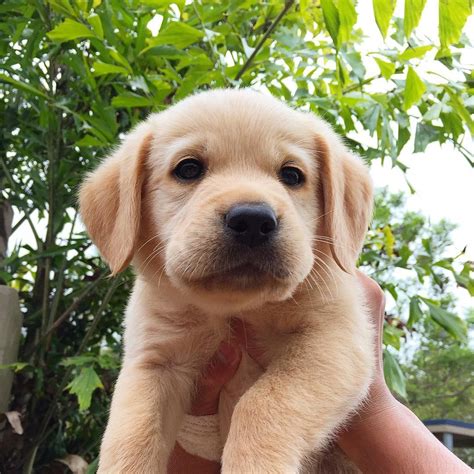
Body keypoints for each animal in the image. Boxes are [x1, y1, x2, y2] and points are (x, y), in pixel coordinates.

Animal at [80, 88, 374, 470]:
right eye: (188, 169)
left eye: (292, 175)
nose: (253, 220)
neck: (235, 308)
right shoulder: (153, 363)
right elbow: (130, 436)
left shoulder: (335, 340)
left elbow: (262, 402)